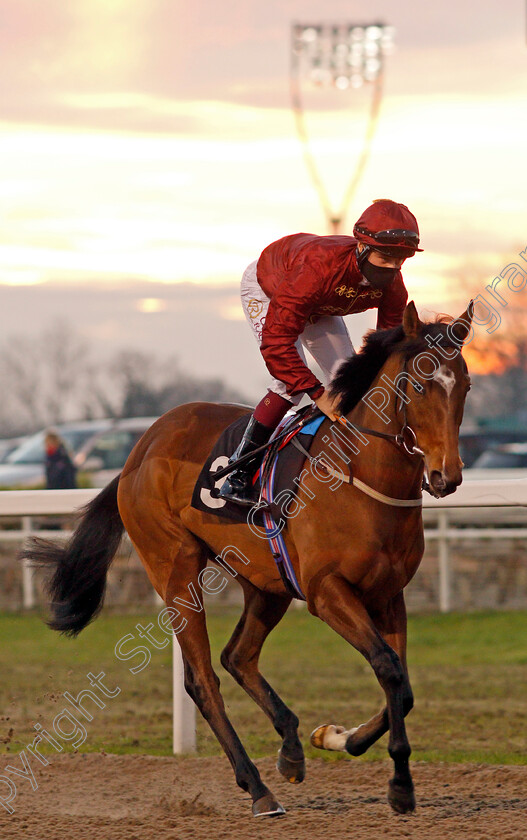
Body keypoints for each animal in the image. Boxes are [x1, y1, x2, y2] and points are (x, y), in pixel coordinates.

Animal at [24, 304, 472, 820]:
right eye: (419, 385)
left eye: (465, 385)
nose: (446, 475)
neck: (361, 477)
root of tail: (139, 450)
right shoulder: (327, 592)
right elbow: (389, 667)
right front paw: (395, 780)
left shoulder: (387, 595)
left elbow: (403, 685)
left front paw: (341, 740)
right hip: (175, 570)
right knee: (203, 680)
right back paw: (258, 787)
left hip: (266, 583)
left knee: (237, 655)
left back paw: (291, 748)